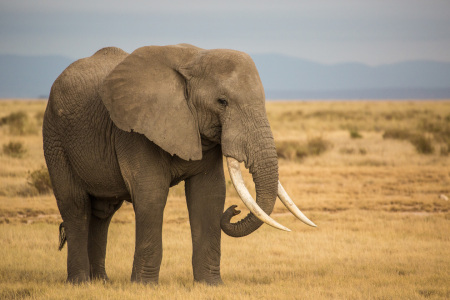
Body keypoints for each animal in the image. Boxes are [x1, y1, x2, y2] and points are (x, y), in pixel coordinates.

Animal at [43, 43, 316, 284]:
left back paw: (101, 282)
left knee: (102, 213)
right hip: (55, 139)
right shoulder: (136, 129)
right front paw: (144, 286)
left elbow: (209, 194)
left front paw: (210, 285)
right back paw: (80, 283)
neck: (192, 59)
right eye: (222, 102)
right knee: (76, 206)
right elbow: (151, 193)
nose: (235, 209)